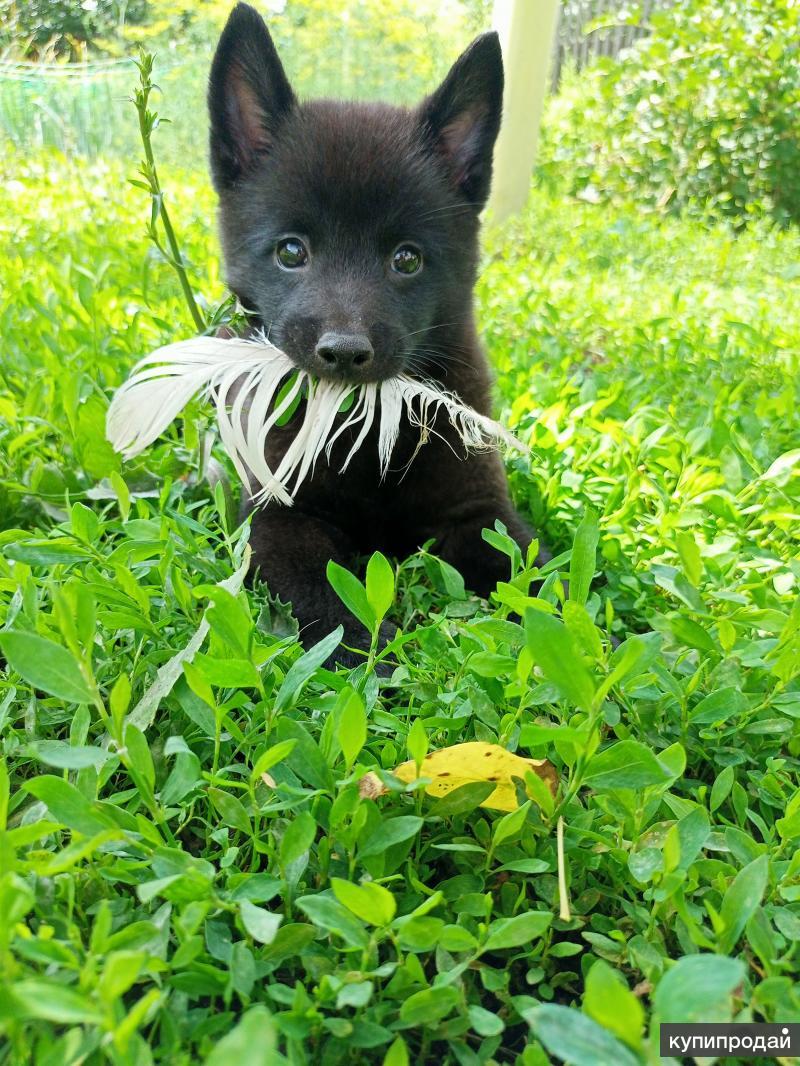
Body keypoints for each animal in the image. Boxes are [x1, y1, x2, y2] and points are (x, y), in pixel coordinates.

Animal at [206, 2, 550, 656]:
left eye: (407, 259)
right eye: (291, 251)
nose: (343, 352)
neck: (362, 433)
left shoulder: (479, 509)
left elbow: (544, 588)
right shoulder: (278, 517)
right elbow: (326, 595)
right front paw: (378, 660)